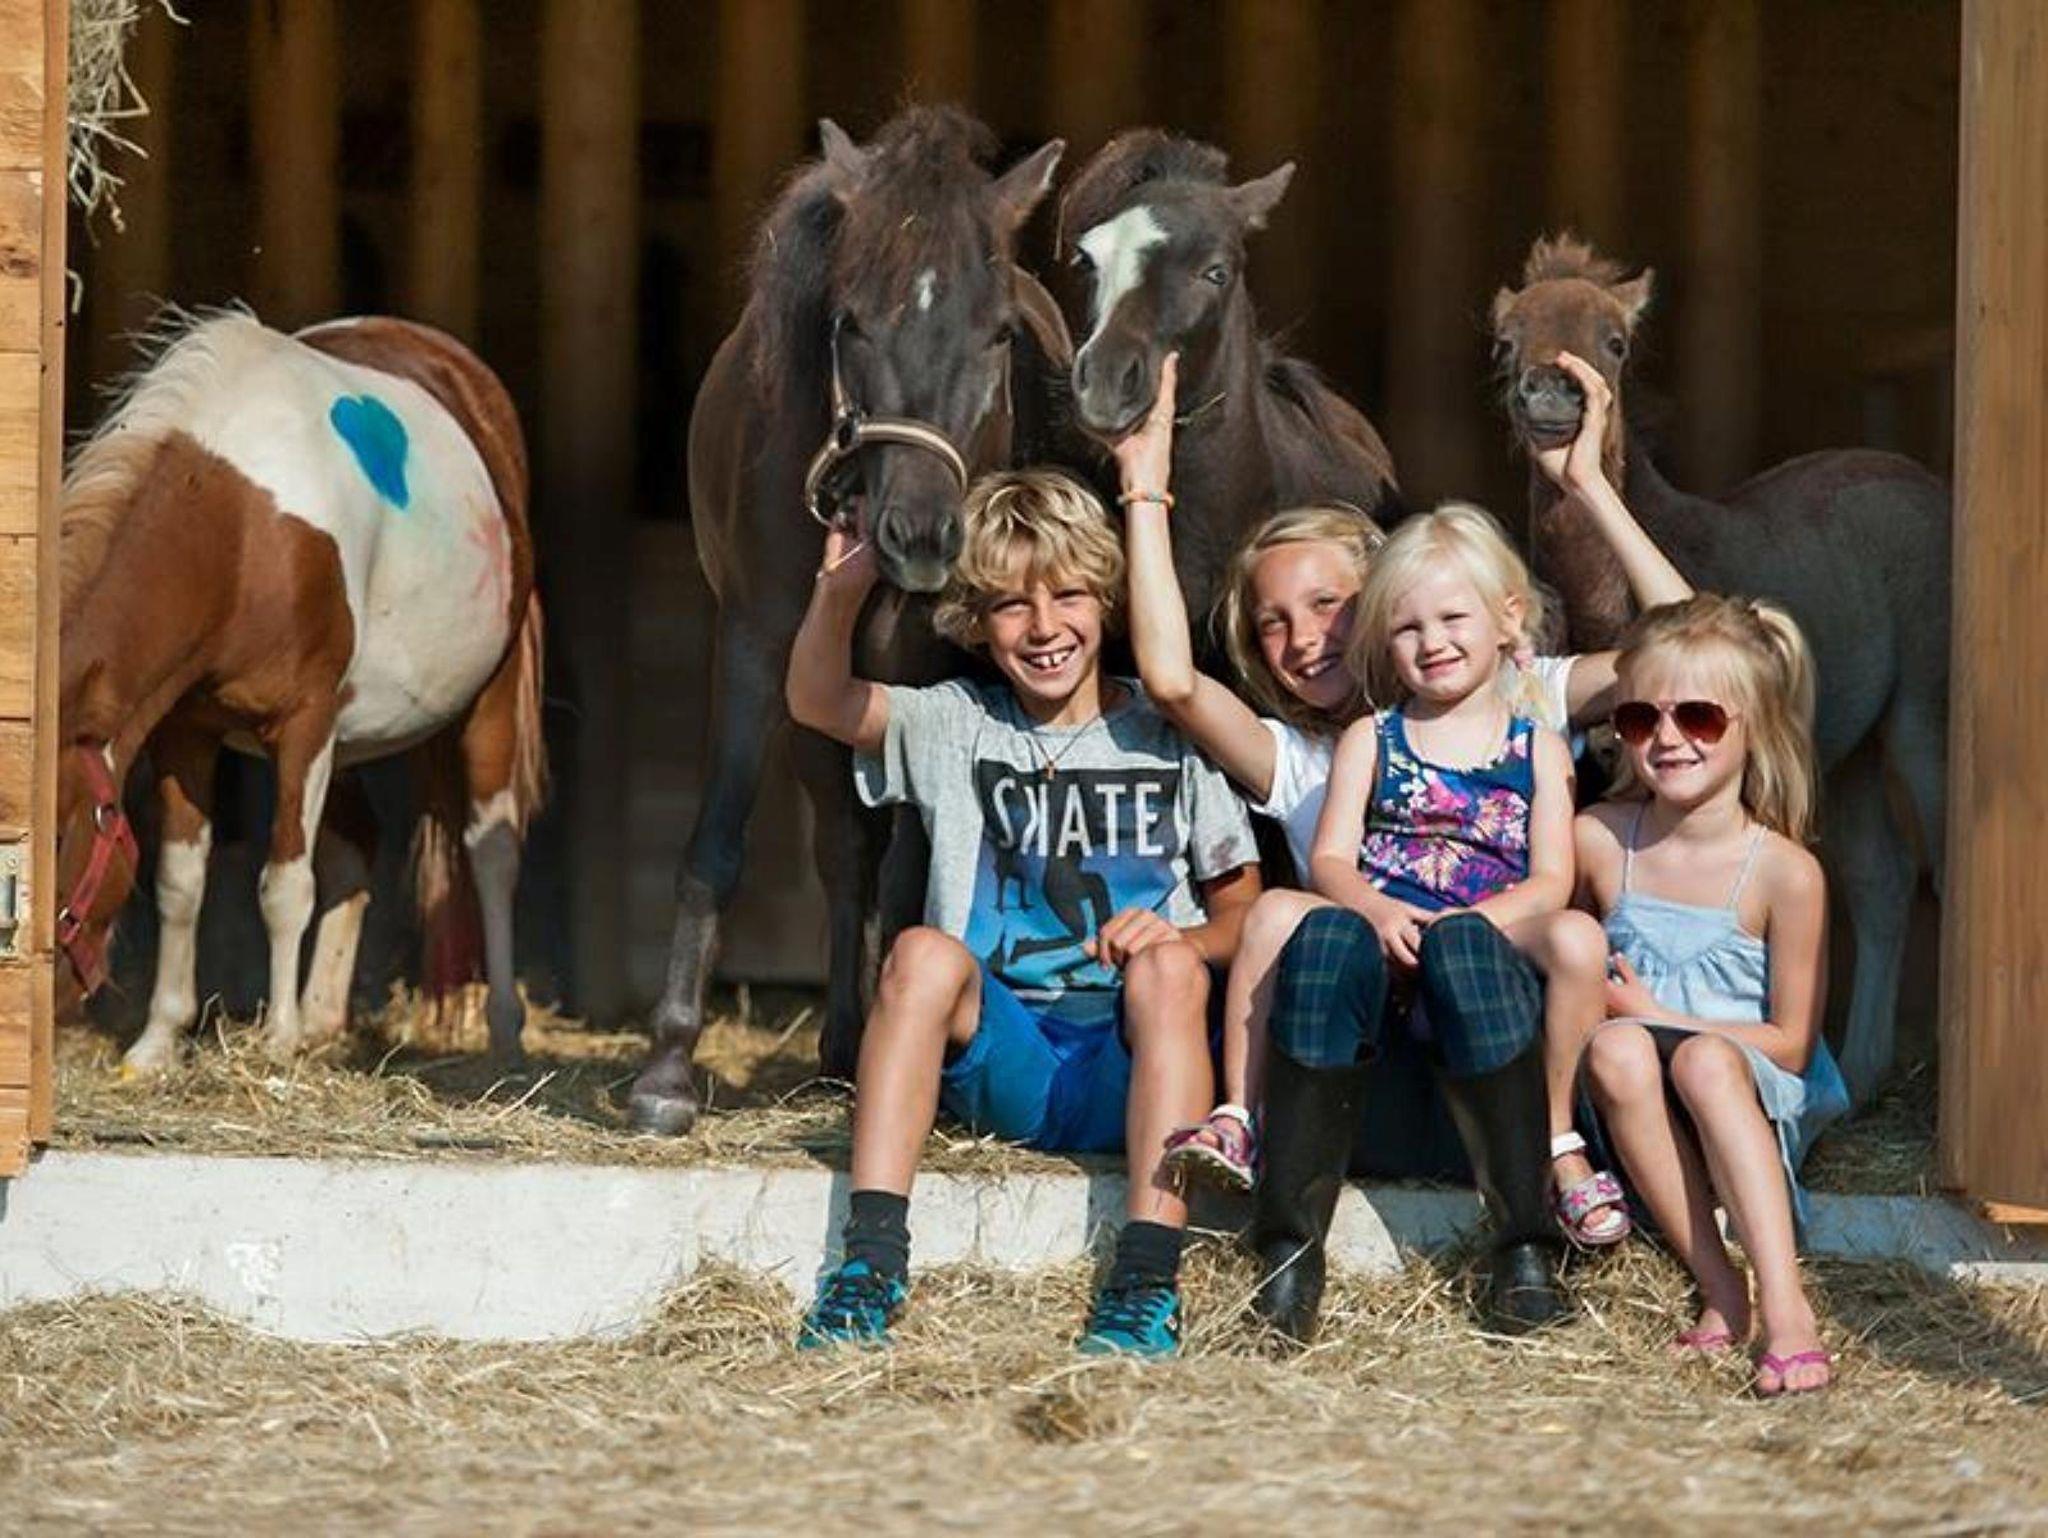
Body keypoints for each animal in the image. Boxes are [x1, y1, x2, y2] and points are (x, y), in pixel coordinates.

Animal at [55, 311, 548, 1072]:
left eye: (56, 835)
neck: (242, 531)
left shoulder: (304, 723)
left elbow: (284, 885)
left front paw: (277, 1042)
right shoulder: (186, 731)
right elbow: (179, 883)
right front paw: (158, 1042)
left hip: (481, 706)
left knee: (491, 853)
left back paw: (501, 1036)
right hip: (346, 746)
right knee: (359, 843)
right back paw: (322, 1020)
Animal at [632, 107, 1074, 1135]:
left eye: (999, 335)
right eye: (850, 322)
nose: (922, 535)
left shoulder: (928, 676)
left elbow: (915, 866)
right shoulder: (760, 646)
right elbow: (719, 840)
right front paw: (666, 1071)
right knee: (842, 845)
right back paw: (838, 1045)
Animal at [1490, 234, 1949, 1103]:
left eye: (1616, 344)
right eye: (1504, 343)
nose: (1552, 397)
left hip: (1919, 714)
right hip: (1850, 748)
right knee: (1881, 875)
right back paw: (1861, 1075)